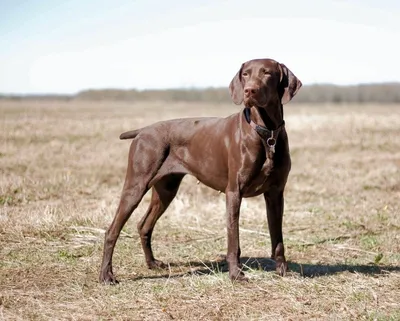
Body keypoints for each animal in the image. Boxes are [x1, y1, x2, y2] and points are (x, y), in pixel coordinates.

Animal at [99, 57, 300, 282]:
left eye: (267, 73)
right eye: (246, 74)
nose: (249, 90)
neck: (266, 133)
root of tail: (143, 131)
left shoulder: (275, 194)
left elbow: (278, 240)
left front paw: (283, 271)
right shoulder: (234, 192)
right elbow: (234, 240)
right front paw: (235, 274)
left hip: (166, 190)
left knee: (144, 225)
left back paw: (152, 264)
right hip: (136, 186)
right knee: (112, 231)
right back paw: (106, 275)